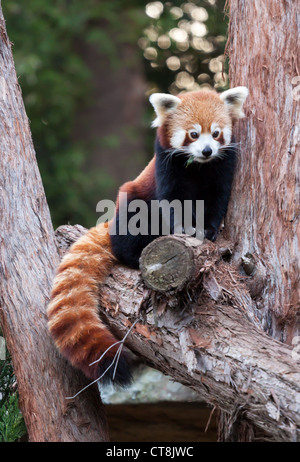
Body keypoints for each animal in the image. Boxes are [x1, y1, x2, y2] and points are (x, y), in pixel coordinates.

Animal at [47, 86, 248, 386]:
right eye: (193, 134)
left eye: (215, 133)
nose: (207, 150)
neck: (199, 167)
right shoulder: (167, 165)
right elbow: (173, 202)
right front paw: (185, 230)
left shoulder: (223, 167)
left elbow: (217, 200)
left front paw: (210, 231)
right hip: (133, 200)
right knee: (127, 234)